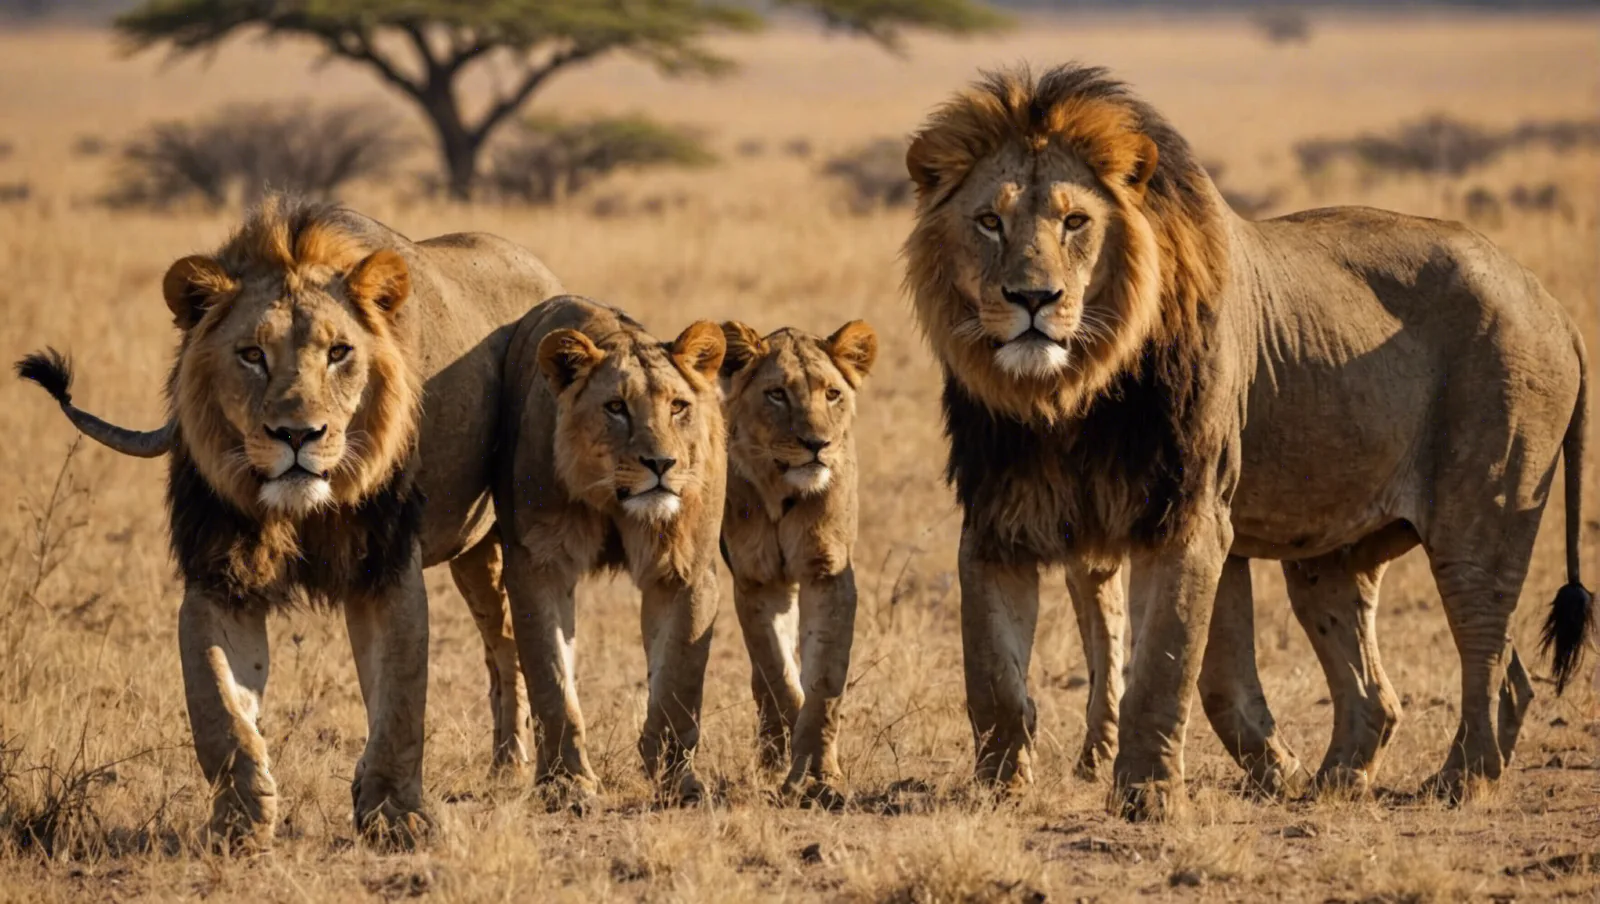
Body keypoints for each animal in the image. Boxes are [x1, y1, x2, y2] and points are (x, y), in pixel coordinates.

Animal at [15, 198, 563, 846]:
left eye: (339, 352)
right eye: (252, 355)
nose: (298, 435)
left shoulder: (386, 566)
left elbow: (401, 701)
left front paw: (396, 816)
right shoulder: (219, 574)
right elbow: (219, 707)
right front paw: (240, 821)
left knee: (507, 646)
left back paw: (512, 768)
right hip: (472, 552)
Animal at [494, 297, 727, 806]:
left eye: (678, 407)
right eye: (616, 408)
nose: (662, 463)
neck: (612, 503)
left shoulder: (688, 571)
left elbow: (678, 682)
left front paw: (677, 778)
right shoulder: (537, 565)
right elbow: (551, 679)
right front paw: (567, 783)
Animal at [718, 319, 878, 807]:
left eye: (832, 394)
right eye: (777, 395)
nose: (816, 444)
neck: (782, 490)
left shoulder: (828, 575)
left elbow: (823, 682)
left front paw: (816, 774)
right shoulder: (756, 581)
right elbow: (777, 675)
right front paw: (786, 761)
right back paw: (771, 753)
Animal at [903, 64, 1592, 821]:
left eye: (1075, 221)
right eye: (988, 221)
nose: (1033, 299)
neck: (1071, 396)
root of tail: (1550, 302)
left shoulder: (1187, 514)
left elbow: (1165, 668)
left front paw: (1148, 796)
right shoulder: (1000, 517)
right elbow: (997, 675)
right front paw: (999, 792)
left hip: (1482, 519)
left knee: (1491, 656)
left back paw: (1462, 780)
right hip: (1328, 557)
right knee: (1378, 694)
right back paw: (1333, 783)